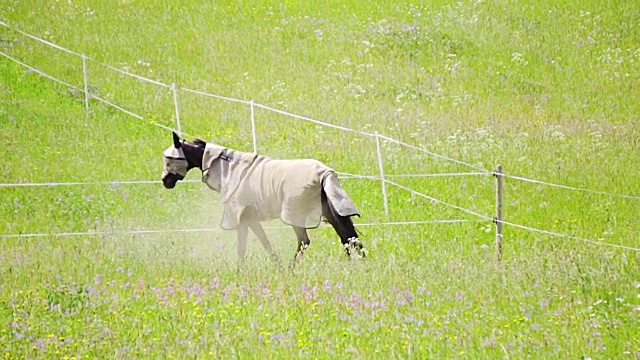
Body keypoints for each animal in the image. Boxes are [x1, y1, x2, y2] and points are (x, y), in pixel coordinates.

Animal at [160, 132, 364, 264]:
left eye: (170, 159)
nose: (165, 181)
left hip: (295, 215)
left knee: (306, 241)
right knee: (348, 237)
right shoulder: (248, 218)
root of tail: (325, 173)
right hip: (330, 212)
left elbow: (247, 244)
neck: (229, 168)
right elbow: (259, 242)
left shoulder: (243, 217)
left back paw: (291, 268)